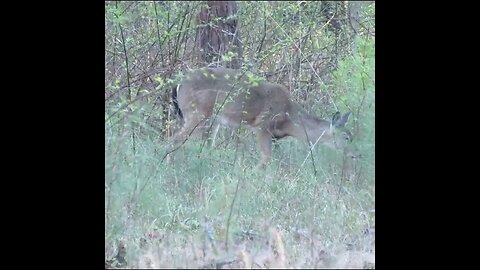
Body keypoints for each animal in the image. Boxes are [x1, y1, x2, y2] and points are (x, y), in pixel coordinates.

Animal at [167, 67, 358, 167]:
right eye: (346, 136)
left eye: (352, 136)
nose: (356, 155)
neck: (290, 119)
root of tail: (179, 84)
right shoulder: (263, 125)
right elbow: (266, 158)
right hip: (196, 113)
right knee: (175, 138)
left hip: (212, 121)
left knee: (205, 144)